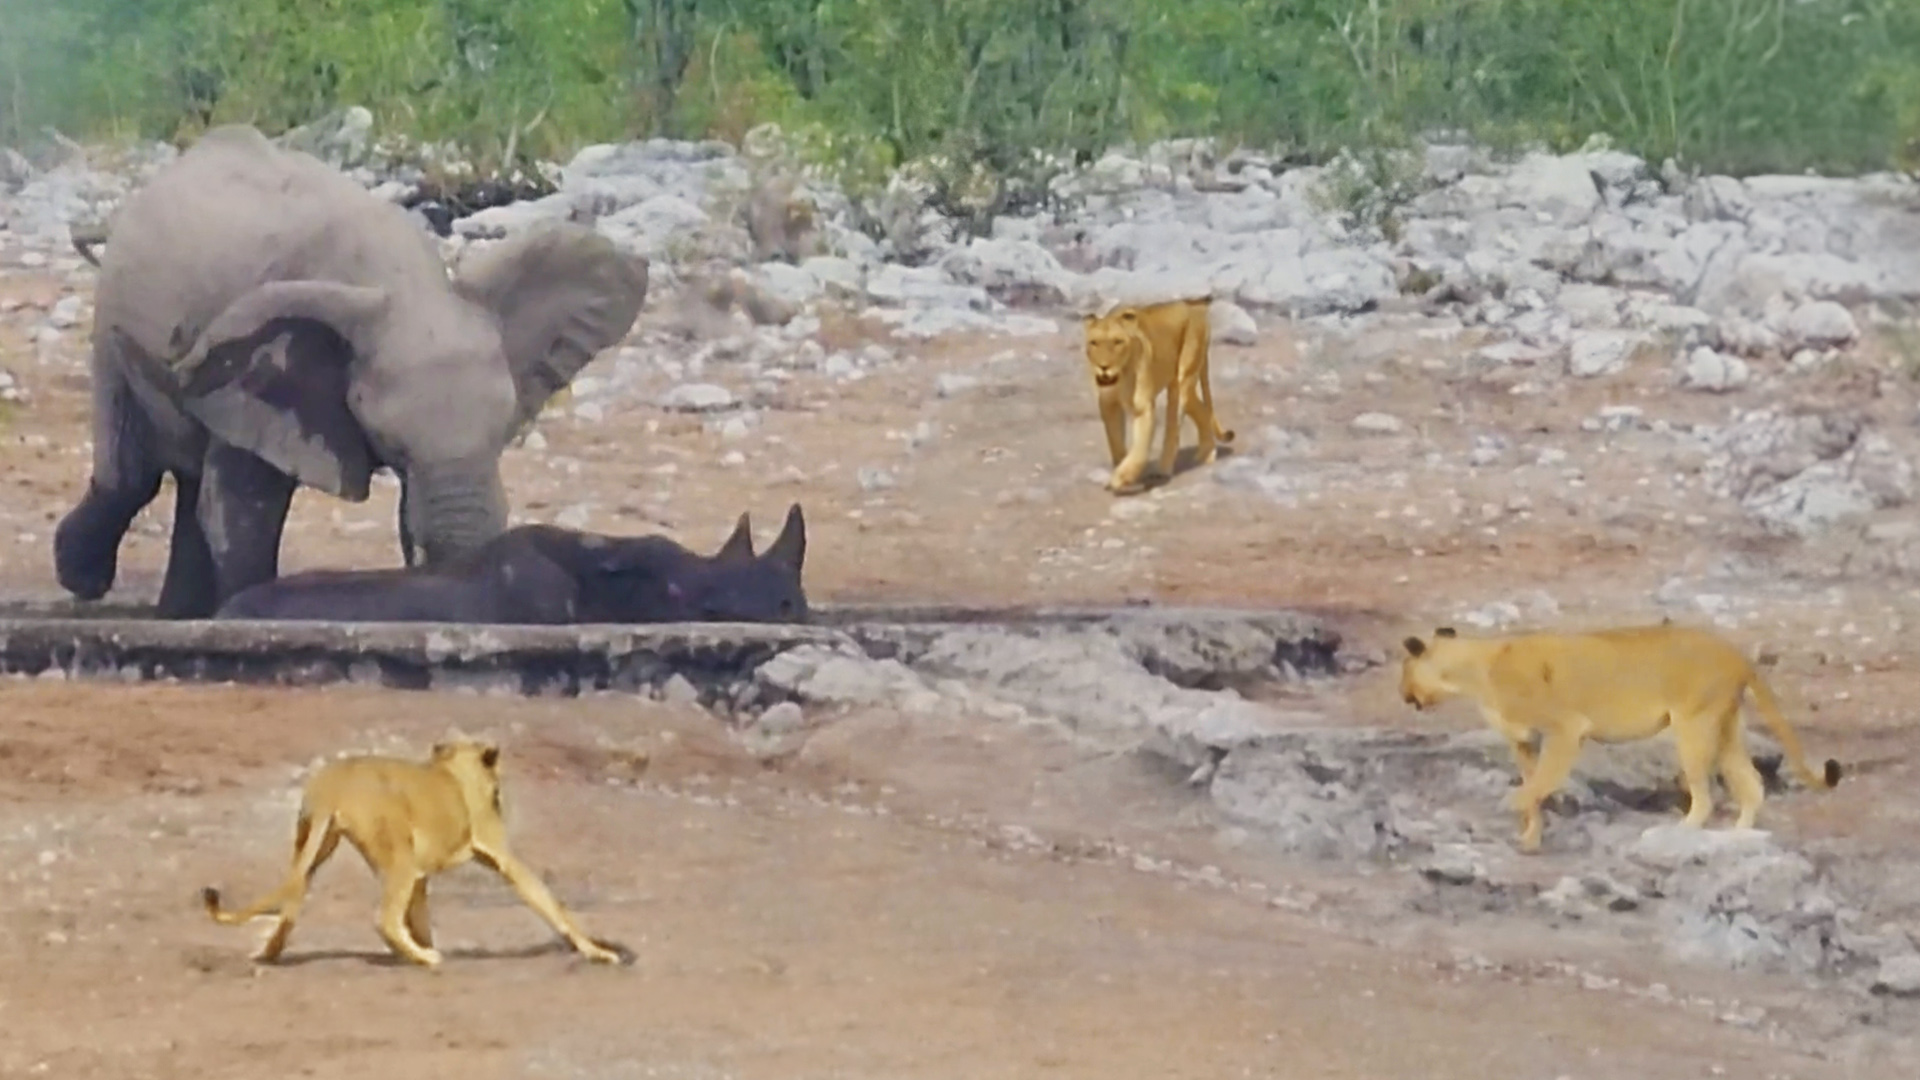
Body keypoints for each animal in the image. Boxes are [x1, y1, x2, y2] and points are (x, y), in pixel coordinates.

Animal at [53, 123, 649, 618]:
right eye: (389, 439)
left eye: (506, 430)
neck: (404, 287)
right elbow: (244, 509)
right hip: (109, 319)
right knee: (132, 474)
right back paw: (84, 578)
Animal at [202, 739, 629, 968]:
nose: (500, 801)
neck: (455, 767)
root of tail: (331, 788)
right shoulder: (500, 856)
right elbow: (550, 903)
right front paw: (598, 951)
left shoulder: (422, 875)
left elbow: (422, 917)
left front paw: (427, 942)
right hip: (397, 860)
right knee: (384, 919)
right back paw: (425, 960)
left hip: (313, 849)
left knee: (290, 906)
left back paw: (267, 954)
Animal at [1082, 298, 1235, 494]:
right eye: (1094, 343)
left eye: (1118, 342)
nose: (1103, 367)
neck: (1121, 376)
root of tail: (1194, 307)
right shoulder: (1108, 404)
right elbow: (1115, 441)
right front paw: (1121, 468)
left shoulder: (1143, 408)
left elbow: (1140, 447)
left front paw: (1122, 477)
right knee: (1201, 410)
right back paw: (1206, 455)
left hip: (1182, 378)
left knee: (1173, 427)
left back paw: (1163, 471)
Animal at [1399, 623, 1843, 853]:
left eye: (1402, 670)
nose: (1403, 695)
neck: (1473, 670)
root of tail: (1738, 655)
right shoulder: (1523, 740)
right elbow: (1535, 785)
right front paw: (1531, 835)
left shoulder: (1566, 727)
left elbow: (1539, 784)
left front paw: (1510, 808)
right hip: (1726, 726)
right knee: (1751, 785)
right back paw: (1737, 837)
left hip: (1693, 724)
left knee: (1705, 795)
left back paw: (1681, 832)